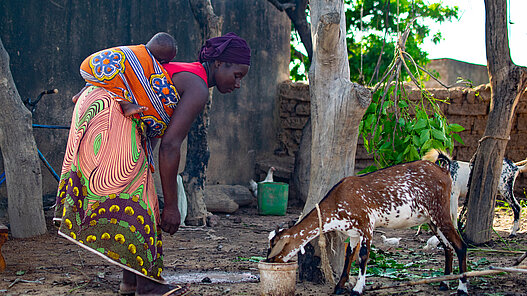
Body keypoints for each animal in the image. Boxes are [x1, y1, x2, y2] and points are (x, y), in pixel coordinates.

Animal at [266, 150, 468, 296]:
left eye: (275, 245)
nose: (269, 260)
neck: (338, 200)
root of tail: (444, 170)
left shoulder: (366, 225)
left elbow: (363, 256)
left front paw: (357, 289)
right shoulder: (353, 232)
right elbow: (349, 255)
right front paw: (339, 287)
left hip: (441, 212)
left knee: (460, 245)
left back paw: (462, 288)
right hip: (431, 220)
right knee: (447, 247)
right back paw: (444, 284)